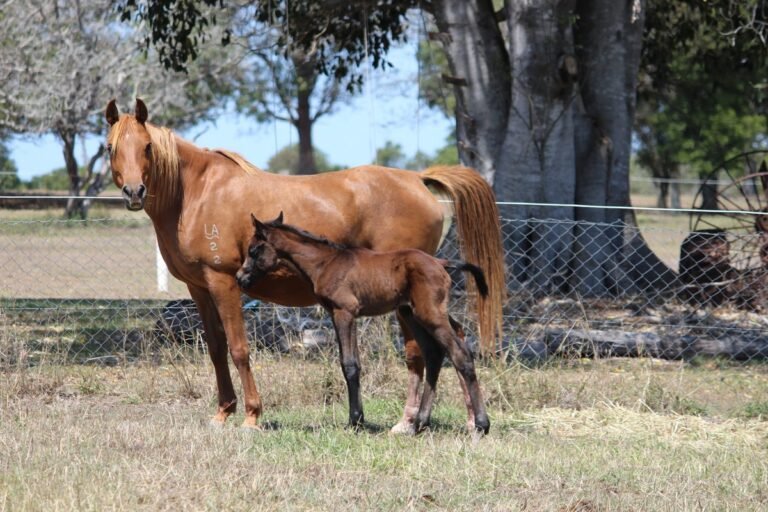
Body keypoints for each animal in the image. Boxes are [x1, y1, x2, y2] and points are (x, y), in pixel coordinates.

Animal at [237, 212, 491, 434]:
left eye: (253, 250)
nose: (241, 277)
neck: (325, 262)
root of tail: (442, 262)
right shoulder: (340, 315)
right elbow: (353, 362)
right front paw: (357, 419)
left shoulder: (344, 313)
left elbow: (349, 364)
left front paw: (355, 421)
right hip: (413, 313)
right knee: (434, 353)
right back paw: (420, 423)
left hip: (429, 314)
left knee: (460, 354)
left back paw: (481, 424)